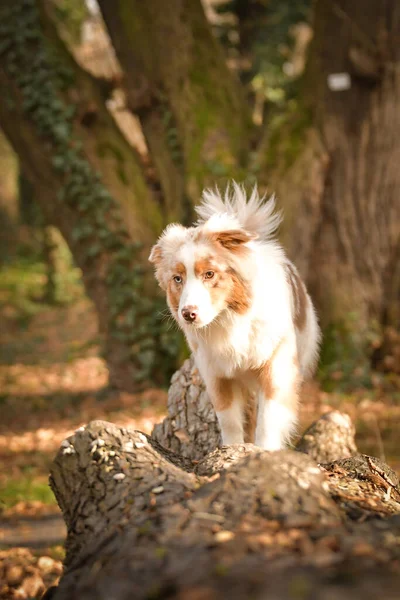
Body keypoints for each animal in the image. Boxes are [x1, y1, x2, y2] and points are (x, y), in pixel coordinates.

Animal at [148, 183, 320, 450]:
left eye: (209, 274)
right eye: (177, 278)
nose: (188, 314)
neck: (230, 320)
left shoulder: (275, 365)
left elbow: (268, 418)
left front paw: (265, 451)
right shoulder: (216, 375)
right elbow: (228, 419)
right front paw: (232, 449)